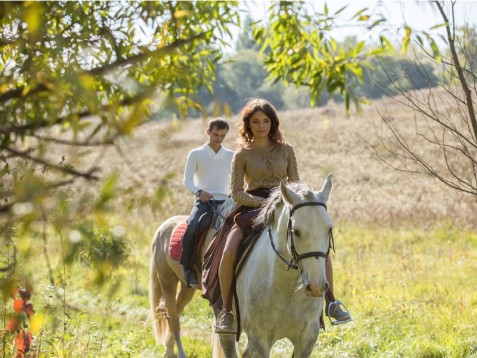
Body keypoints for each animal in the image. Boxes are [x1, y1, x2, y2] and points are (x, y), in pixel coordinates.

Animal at [150, 199, 235, 358]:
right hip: (167, 280)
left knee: (173, 311)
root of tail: (162, 228)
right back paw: (179, 352)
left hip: (186, 288)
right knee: (173, 317)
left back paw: (169, 350)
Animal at [218, 175, 332, 356]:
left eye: (329, 229)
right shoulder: (259, 338)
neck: (286, 286)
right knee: (227, 341)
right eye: (296, 231)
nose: (316, 287)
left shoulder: (307, 338)